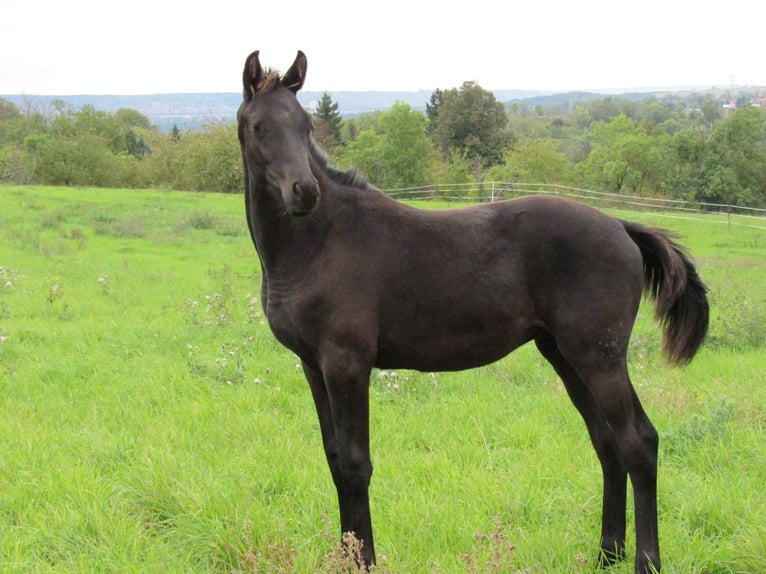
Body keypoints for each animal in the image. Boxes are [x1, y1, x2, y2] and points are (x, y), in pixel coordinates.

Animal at [236, 50, 709, 574]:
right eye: (258, 125)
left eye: (306, 125)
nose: (304, 192)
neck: (317, 242)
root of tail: (622, 227)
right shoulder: (312, 364)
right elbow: (335, 459)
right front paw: (347, 554)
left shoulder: (347, 363)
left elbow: (357, 464)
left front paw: (365, 560)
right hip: (565, 356)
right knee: (607, 444)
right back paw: (607, 553)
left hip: (598, 356)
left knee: (638, 442)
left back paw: (645, 560)